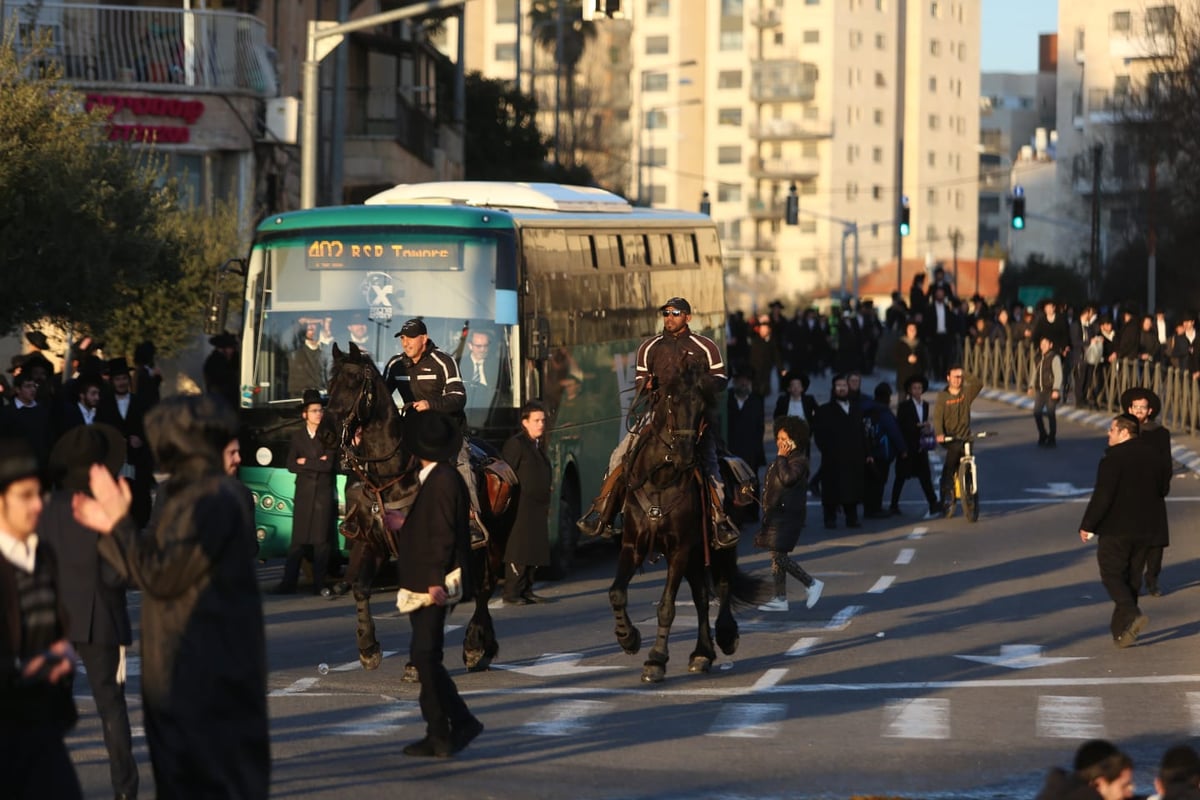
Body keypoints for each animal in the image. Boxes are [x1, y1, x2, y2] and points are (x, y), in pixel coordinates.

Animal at [319, 340, 511, 671]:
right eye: (330, 384)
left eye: (354, 382)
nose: (325, 434)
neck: (393, 473)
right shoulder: (373, 543)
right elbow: (361, 588)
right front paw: (368, 647)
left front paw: (414, 665)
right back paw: (483, 647)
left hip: (497, 538)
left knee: (485, 587)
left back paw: (475, 646)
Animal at [604, 367, 763, 686]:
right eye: (671, 404)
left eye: (701, 409)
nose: (685, 456)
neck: (660, 479)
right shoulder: (633, 545)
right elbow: (617, 592)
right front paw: (628, 637)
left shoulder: (679, 549)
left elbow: (666, 607)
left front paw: (655, 660)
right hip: (694, 556)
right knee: (701, 598)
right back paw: (702, 654)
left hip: (717, 548)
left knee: (723, 585)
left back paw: (725, 636)